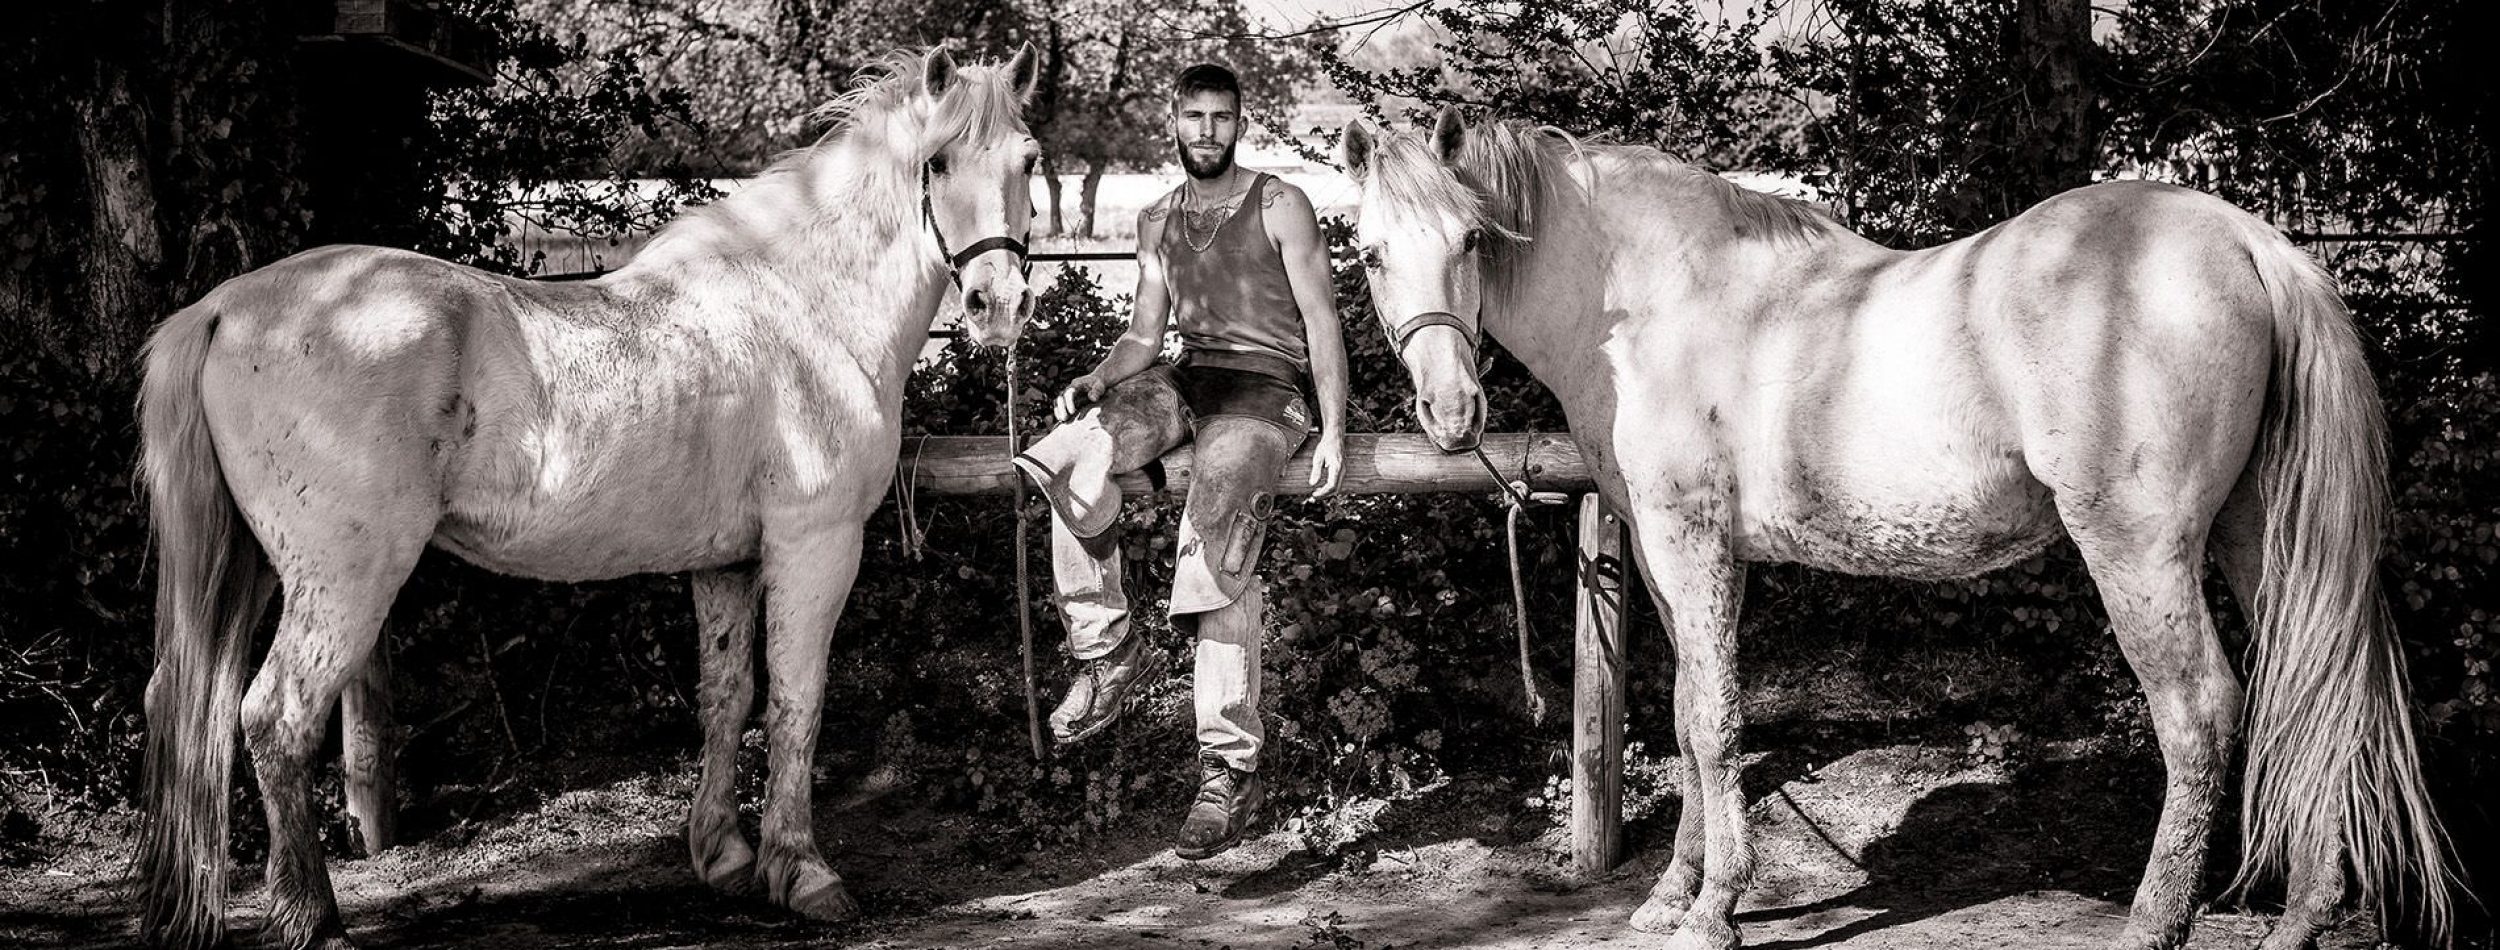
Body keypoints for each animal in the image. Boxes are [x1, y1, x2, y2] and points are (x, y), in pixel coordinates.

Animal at [139, 46, 1035, 950]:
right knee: (275, 719)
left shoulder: (729, 563)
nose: (999, 307)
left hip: (254, 569)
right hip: (345, 580)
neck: (805, 305)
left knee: (184, 707)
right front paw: (804, 873)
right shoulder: (815, 546)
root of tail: (223, 309)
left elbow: (728, 699)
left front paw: (725, 857)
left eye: (1028, 161)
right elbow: (796, 702)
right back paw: (313, 919)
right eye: (937, 163)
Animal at [1350, 113, 2460, 950]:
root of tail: (2246, 240)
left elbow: (1713, 723)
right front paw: (1671, 894)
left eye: (1472, 241)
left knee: (2199, 712)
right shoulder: (1688, 560)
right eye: (1369, 250)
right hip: (2252, 536)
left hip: (2139, 550)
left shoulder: (1687, 541)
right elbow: (1684, 715)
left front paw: (1714, 910)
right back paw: (2304, 915)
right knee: (2314, 688)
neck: (1660, 297)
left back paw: (2154, 923)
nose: (1451, 413)